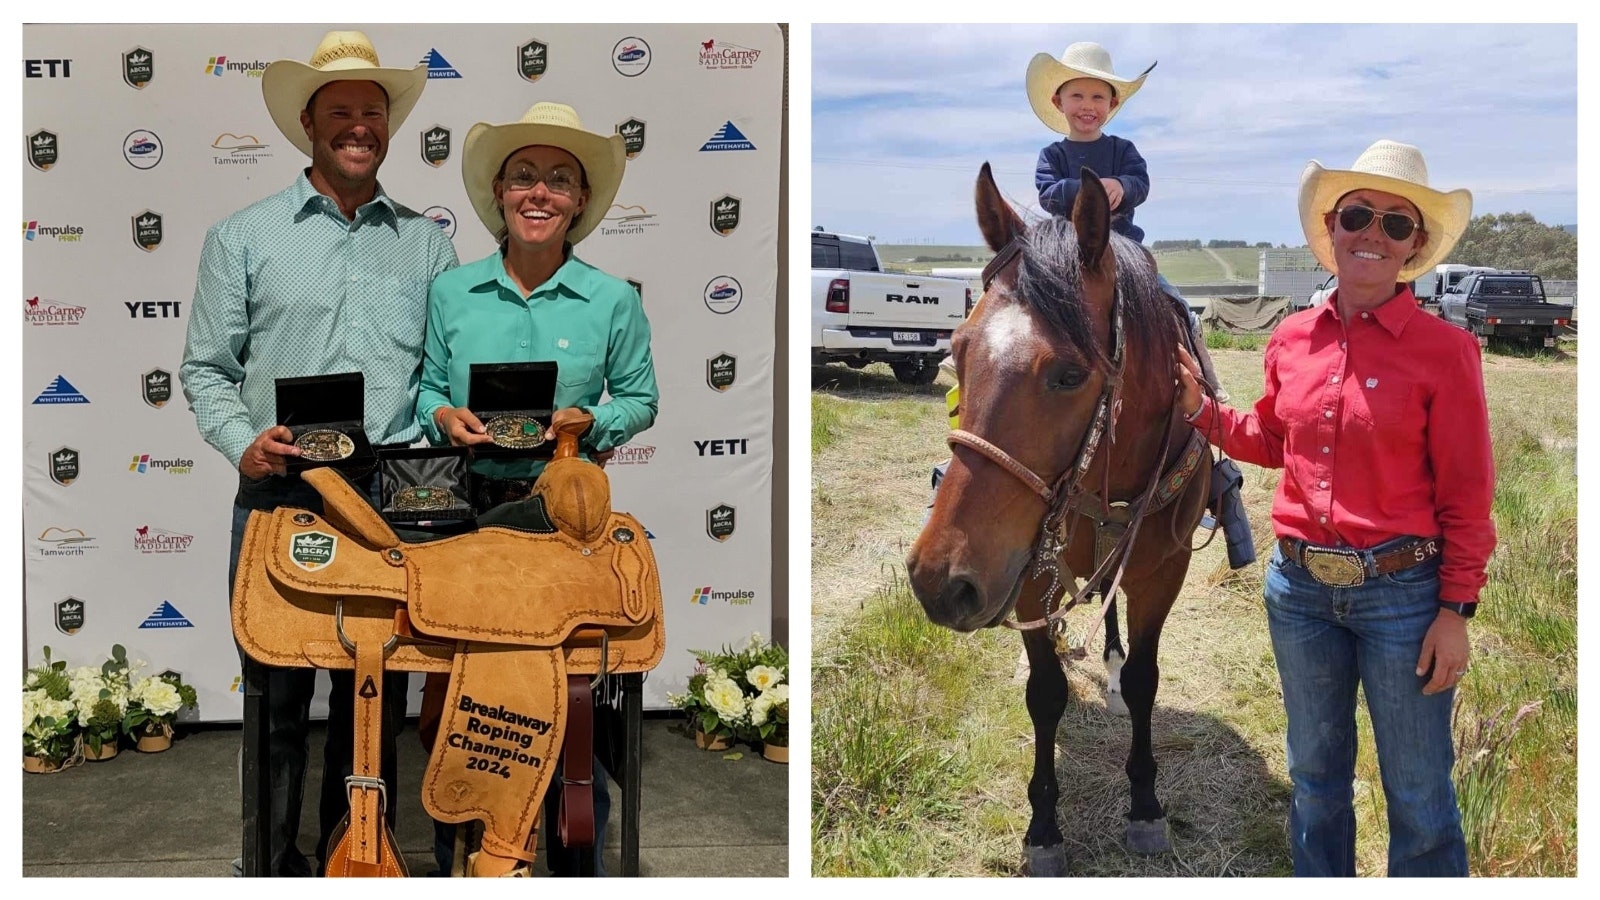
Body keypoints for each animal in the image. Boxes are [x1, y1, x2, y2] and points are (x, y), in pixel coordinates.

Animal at [908, 164, 1203, 871]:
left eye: (1069, 374)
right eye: (957, 349)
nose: (938, 580)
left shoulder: (1163, 571)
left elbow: (1146, 680)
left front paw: (1145, 804)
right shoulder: (1026, 574)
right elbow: (1045, 695)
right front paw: (1043, 826)